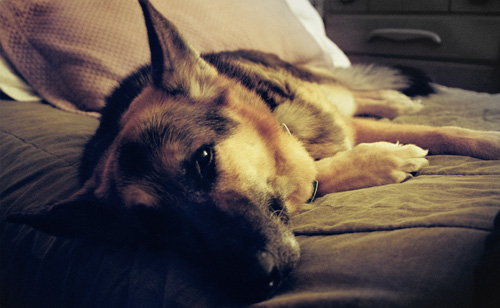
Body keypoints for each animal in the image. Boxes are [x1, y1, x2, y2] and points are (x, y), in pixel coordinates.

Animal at [8, 0, 500, 304]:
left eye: (203, 160)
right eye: (154, 225)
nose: (255, 280)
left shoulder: (340, 126)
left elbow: (445, 130)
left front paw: (484, 139)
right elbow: (320, 172)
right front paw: (380, 159)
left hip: (326, 95)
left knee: (350, 94)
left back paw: (393, 100)